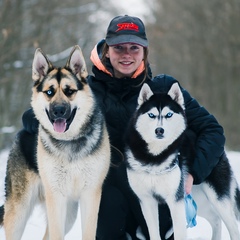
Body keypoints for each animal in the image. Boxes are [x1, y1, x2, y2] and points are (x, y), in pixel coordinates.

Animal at [125, 83, 240, 240]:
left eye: (169, 114)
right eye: (151, 115)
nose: (159, 130)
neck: (156, 157)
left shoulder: (175, 201)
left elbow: (179, 233)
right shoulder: (147, 201)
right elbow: (154, 232)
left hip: (217, 198)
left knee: (233, 228)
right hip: (196, 196)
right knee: (215, 219)